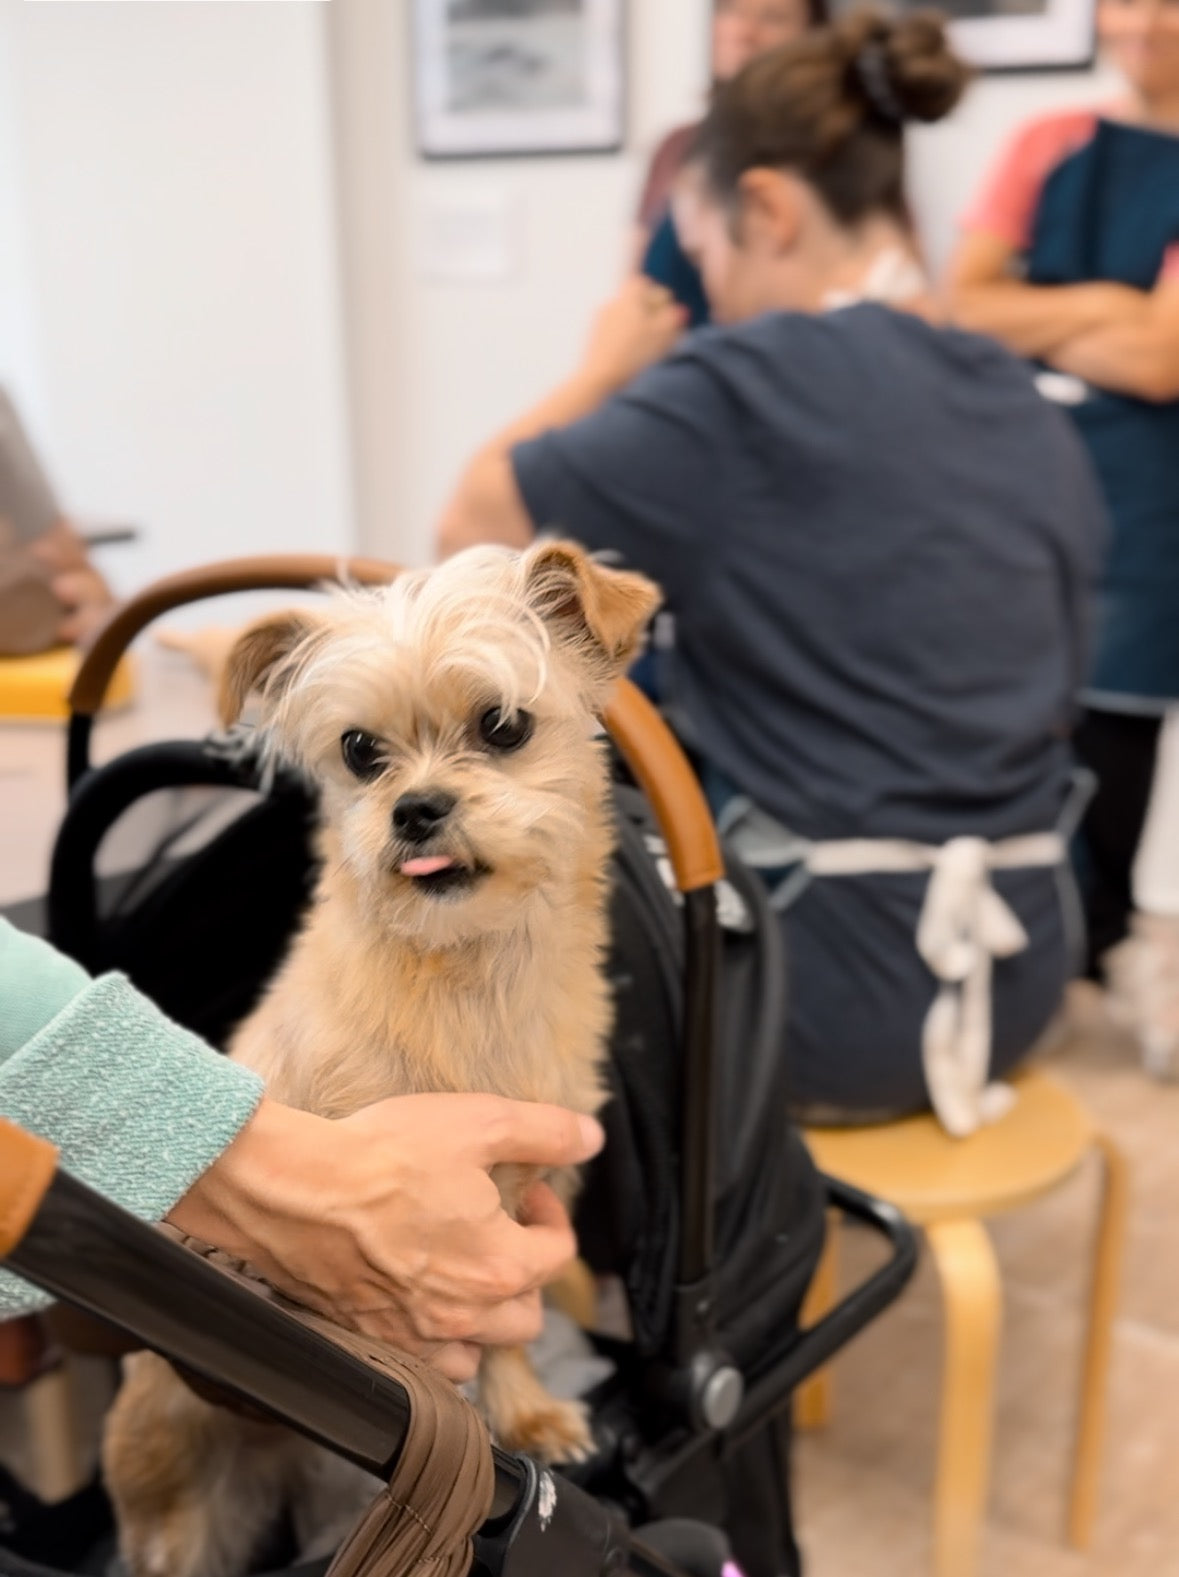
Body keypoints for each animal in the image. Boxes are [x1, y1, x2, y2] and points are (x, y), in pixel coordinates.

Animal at [102, 539, 662, 1577]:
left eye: (503, 725)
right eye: (360, 750)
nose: (415, 808)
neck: (464, 976)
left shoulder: (523, 1205)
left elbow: (510, 1324)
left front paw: (524, 1417)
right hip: (179, 1510)